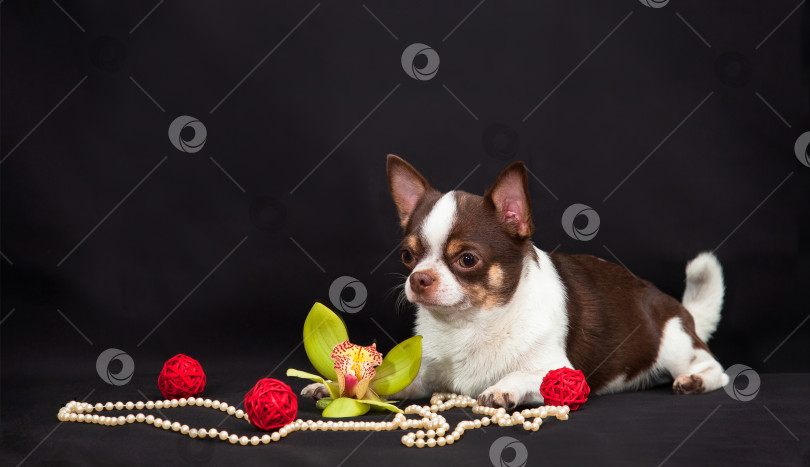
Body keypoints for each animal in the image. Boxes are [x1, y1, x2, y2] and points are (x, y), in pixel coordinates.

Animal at [304, 157, 724, 410]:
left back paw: (695, 380)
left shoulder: (562, 374)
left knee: (714, 366)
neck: (472, 323)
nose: (418, 277)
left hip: (673, 343)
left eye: (467, 260)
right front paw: (336, 383)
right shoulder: (423, 373)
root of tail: (675, 305)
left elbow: (524, 374)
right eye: (408, 256)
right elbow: (387, 377)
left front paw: (503, 387)